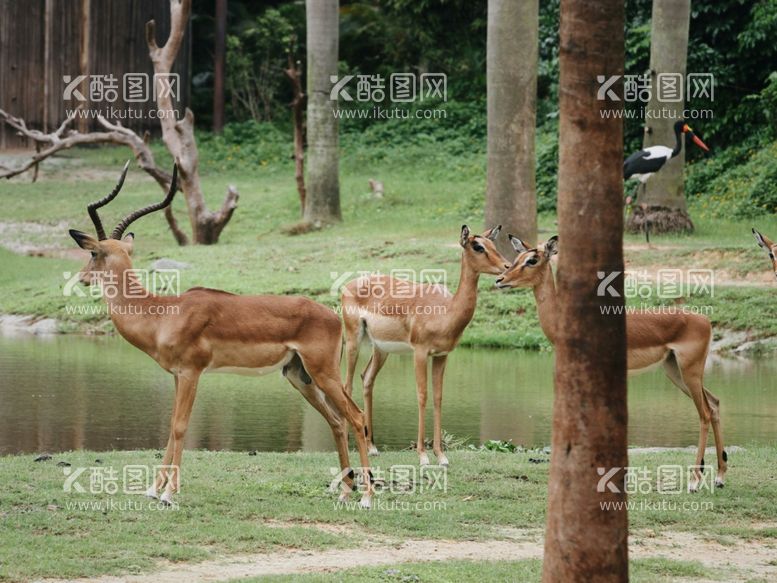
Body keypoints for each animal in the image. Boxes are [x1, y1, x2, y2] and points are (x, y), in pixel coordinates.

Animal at [66, 163, 372, 506]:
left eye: (93, 254)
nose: (82, 278)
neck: (162, 314)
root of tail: (332, 315)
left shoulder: (191, 372)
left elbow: (181, 426)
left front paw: (169, 494)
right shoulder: (177, 375)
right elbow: (170, 426)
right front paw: (153, 489)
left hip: (323, 373)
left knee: (356, 417)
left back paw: (366, 497)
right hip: (300, 376)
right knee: (337, 421)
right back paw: (345, 491)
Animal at [342, 226, 510, 468]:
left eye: (493, 244)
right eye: (477, 246)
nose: (507, 267)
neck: (445, 311)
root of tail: (347, 286)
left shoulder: (441, 355)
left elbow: (438, 397)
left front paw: (441, 456)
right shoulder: (420, 353)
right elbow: (422, 395)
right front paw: (423, 456)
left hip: (381, 349)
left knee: (367, 378)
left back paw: (372, 447)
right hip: (353, 341)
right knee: (347, 385)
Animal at [498, 235, 728, 490]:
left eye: (532, 259)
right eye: (517, 257)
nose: (501, 279)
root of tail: (705, 320)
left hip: (689, 372)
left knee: (704, 413)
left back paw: (695, 481)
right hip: (675, 371)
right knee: (715, 403)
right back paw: (719, 477)